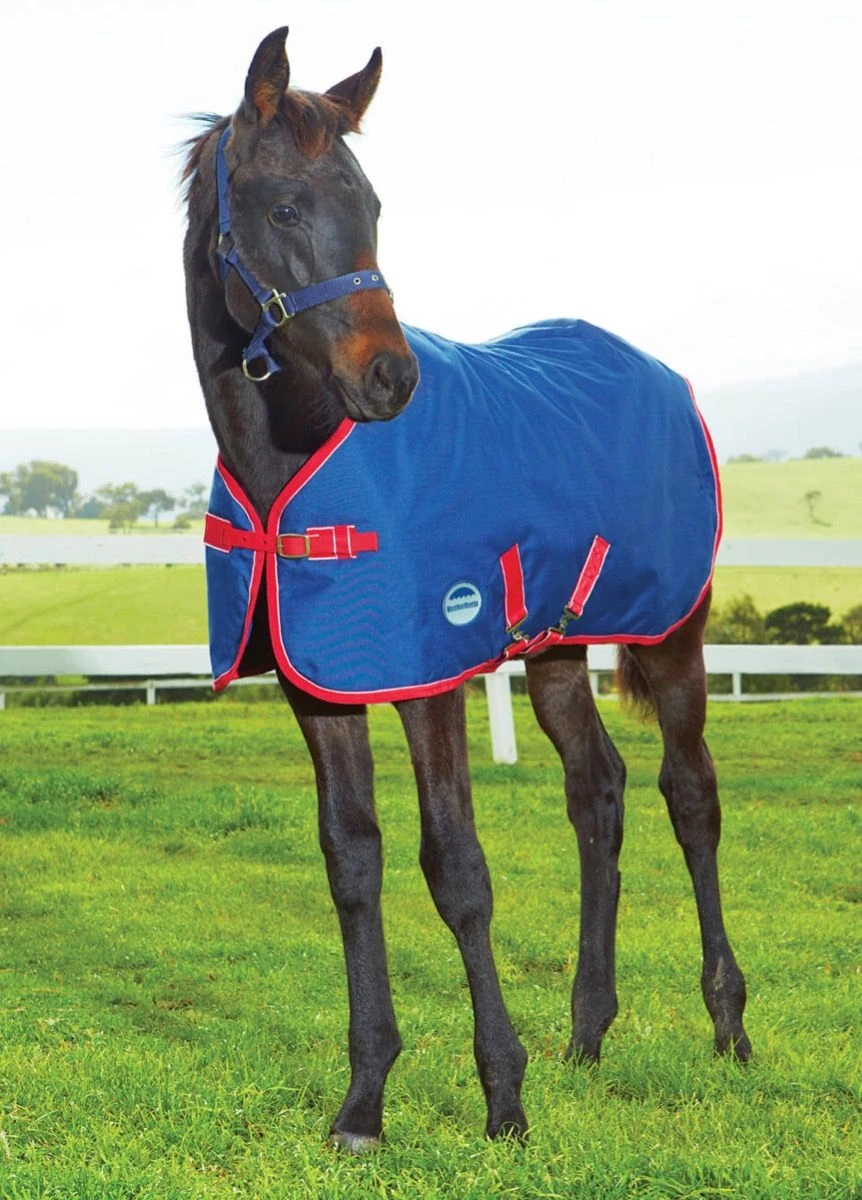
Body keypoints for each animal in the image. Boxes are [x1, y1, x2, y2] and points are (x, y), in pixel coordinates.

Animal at [181, 26, 750, 1150]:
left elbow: (456, 870)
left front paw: (503, 1098)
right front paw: (363, 1105)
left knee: (690, 794)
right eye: (284, 208)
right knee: (597, 792)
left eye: (373, 204)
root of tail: (659, 372)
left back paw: (728, 1026)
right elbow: (352, 865)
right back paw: (588, 1033)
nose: (390, 379)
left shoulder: (430, 679)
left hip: (672, 635)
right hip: (559, 650)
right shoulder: (322, 690)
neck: (294, 466)